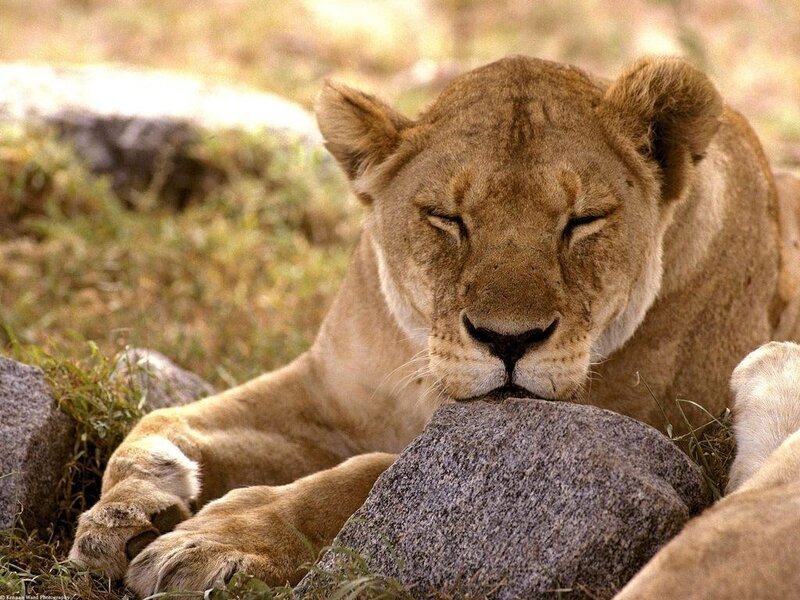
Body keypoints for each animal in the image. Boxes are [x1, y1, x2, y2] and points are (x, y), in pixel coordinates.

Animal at [67, 55, 800, 595]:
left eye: (583, 221)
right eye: (447, 219)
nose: (509, 340)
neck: (422, 370)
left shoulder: (645, 437)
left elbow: (365, 476)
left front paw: (216, 540)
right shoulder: (328, 392)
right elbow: (164, 420)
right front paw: (129, 507)